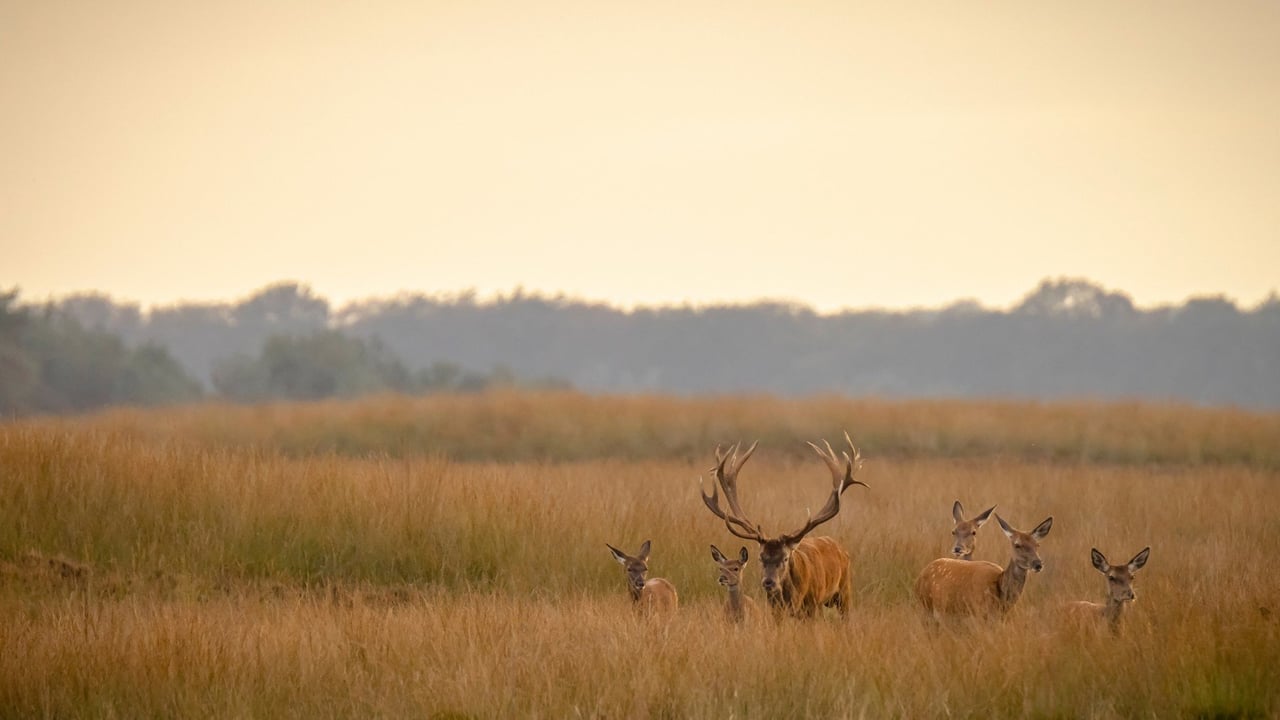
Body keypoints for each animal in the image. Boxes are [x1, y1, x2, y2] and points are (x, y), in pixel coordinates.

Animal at [701, 430, 870, 617]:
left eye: (786, 558)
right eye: (760, 557)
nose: (768, 582)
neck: (793, 599)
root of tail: (841, 548)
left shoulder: (813, 604)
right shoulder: (774, 608)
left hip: (844, 591)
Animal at [916, 509, 1054, 617]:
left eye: (1037, 545)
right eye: (1017, 545)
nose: (1038, 564)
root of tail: (921, 574)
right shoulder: (978, 613)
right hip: (926, 606)